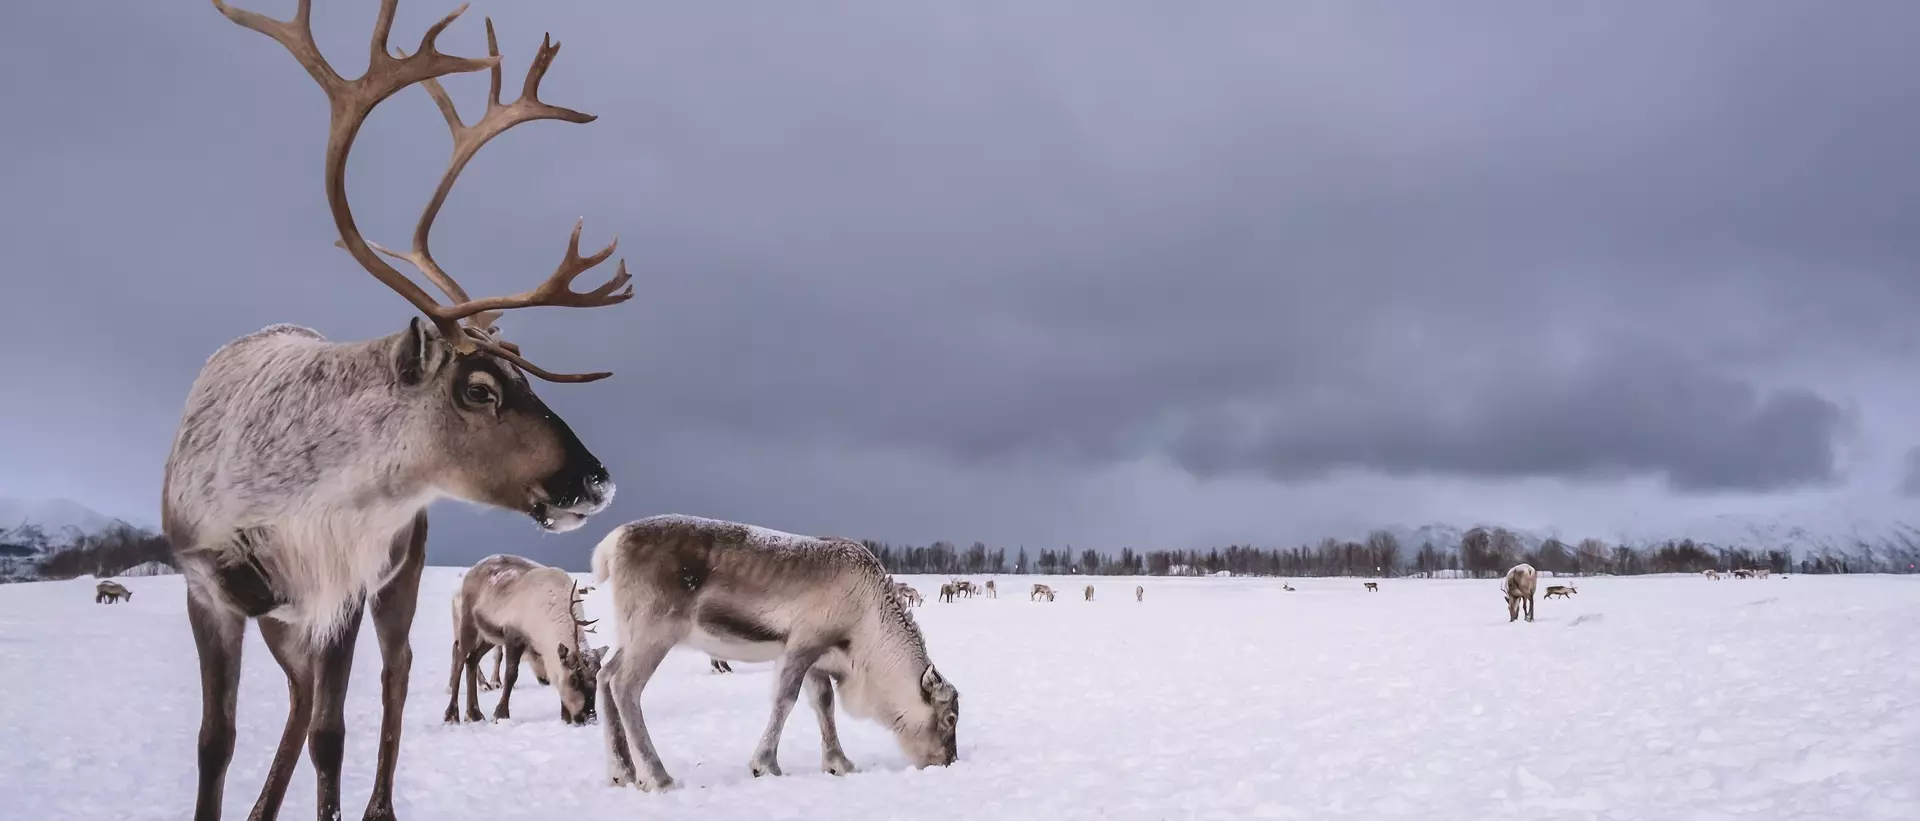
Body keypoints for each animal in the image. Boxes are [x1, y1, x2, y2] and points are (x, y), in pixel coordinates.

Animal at [445, 555, 604, 725]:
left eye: (596, 680)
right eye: (574, 679)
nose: (589, 717)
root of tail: (474, 568)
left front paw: (564, 716)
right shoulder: (513, 635)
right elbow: (511, 675)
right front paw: (500, 714)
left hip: (489, 637)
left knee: (472, 660)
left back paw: (474, 713)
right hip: (469, 623)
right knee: (460, 657)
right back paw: (452, 714)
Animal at [591, 515, 960, 792]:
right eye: (950, 718)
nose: (948, 761)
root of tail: (612, 543)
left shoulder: (819, 660)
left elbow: (824, 704)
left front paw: (838, 762)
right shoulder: (802, 644)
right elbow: (786, 699)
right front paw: (765, 764)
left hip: (630, 634)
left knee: (604, 674)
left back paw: (622, 771)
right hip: (655, 631)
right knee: (625, 686)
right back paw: (658, 776)